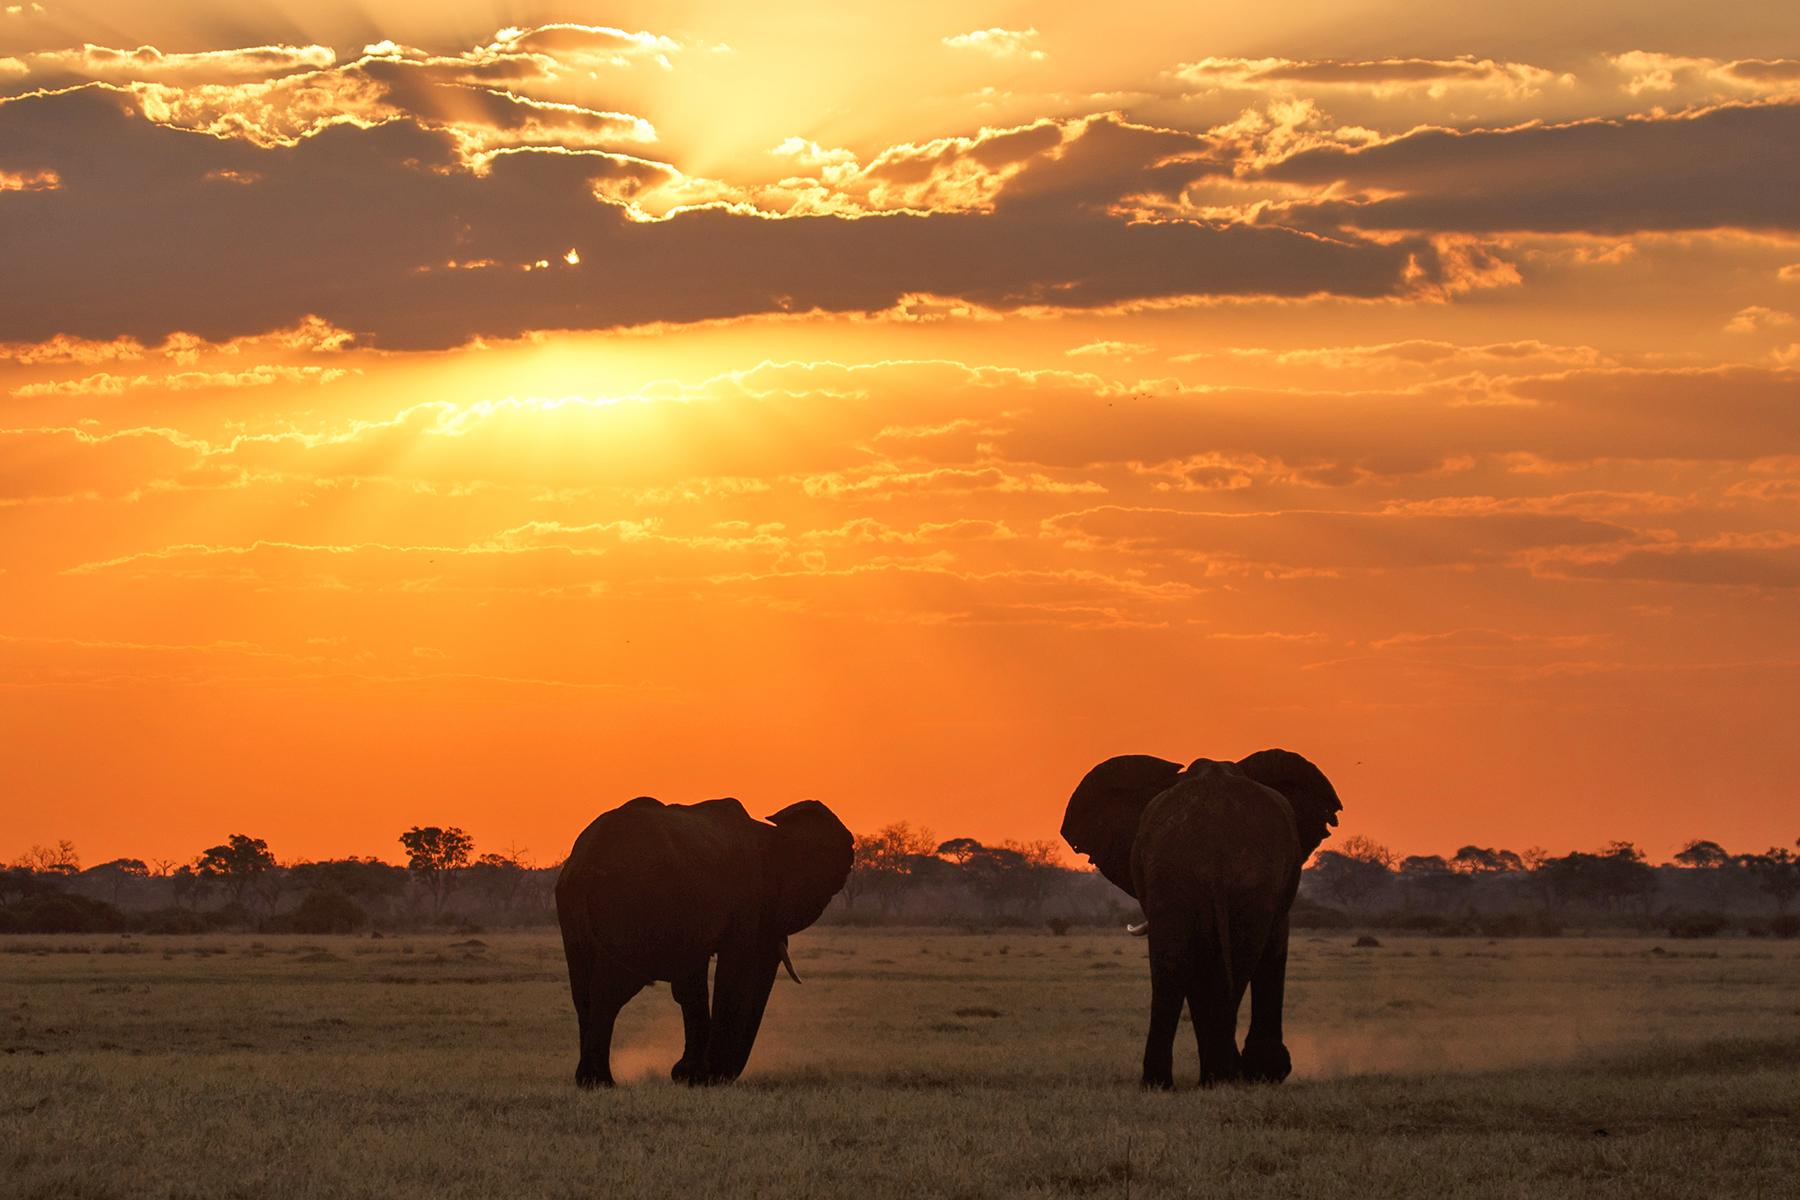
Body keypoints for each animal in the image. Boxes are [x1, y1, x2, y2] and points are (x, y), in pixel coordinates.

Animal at [550, 798, 853, 1086]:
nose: (724, 1075)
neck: (768, 832)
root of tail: (583, 867)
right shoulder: (745, 902)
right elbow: (735, 972)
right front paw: (706, 1078)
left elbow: (690, 985)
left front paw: (688, 1075)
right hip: (627, 912)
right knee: (611, 989)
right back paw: (601, 1082)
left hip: (575, 915)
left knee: (583, 990)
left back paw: (589, 1081)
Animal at [1058, 755, 1346, 1093]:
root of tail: (1213, 832)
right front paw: (1263, 1071)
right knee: (1219, 964)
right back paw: (1215, 1077)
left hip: (1189, 875)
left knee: (1180, 963)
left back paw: (1174, 1082)